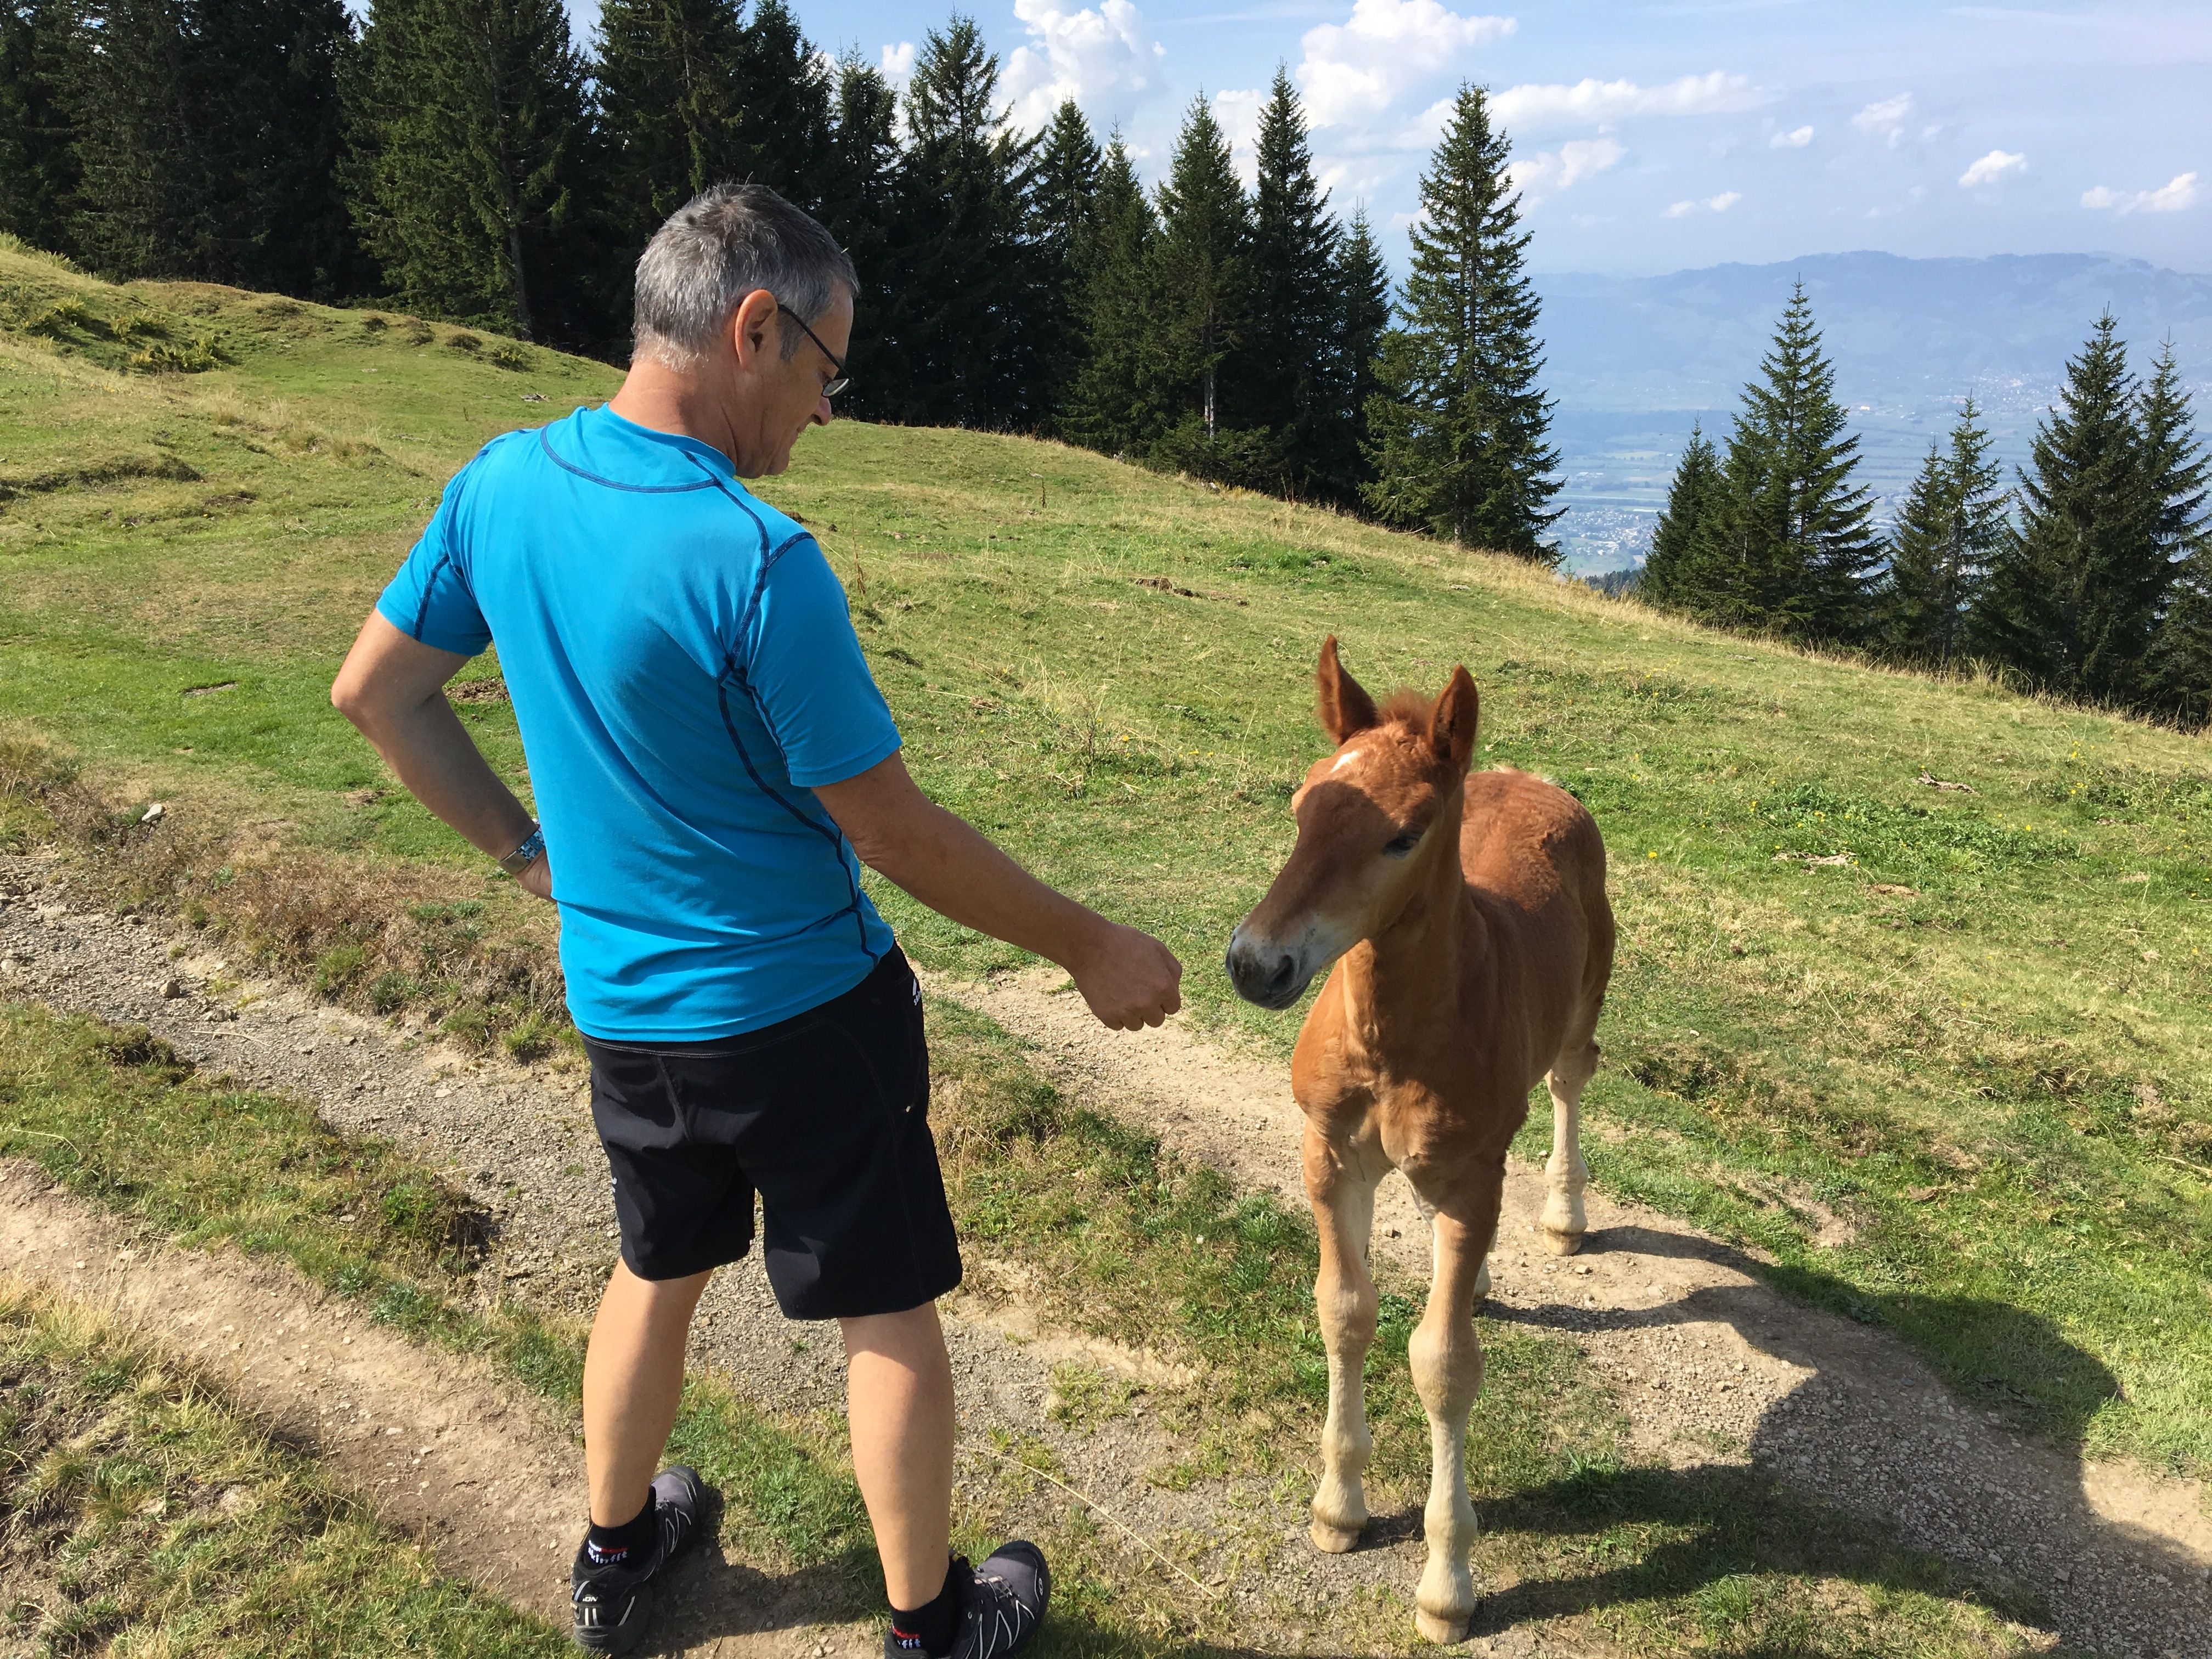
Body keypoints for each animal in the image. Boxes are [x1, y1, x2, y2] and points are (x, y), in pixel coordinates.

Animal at [1224, 636, 1614, 1643]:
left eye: (1403, 834)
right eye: (1302, 806)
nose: (1256, 963)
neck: (1394, 1040)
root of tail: (1535, 781)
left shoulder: (1469, 1179)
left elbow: (1443, 1363)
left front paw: (1448, 1582)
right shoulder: (1330, 1158)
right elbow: (1345, 1309)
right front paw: (1339, 1505)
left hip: (1583, 1006)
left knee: (1566, 1081)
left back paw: (1561, 1216)